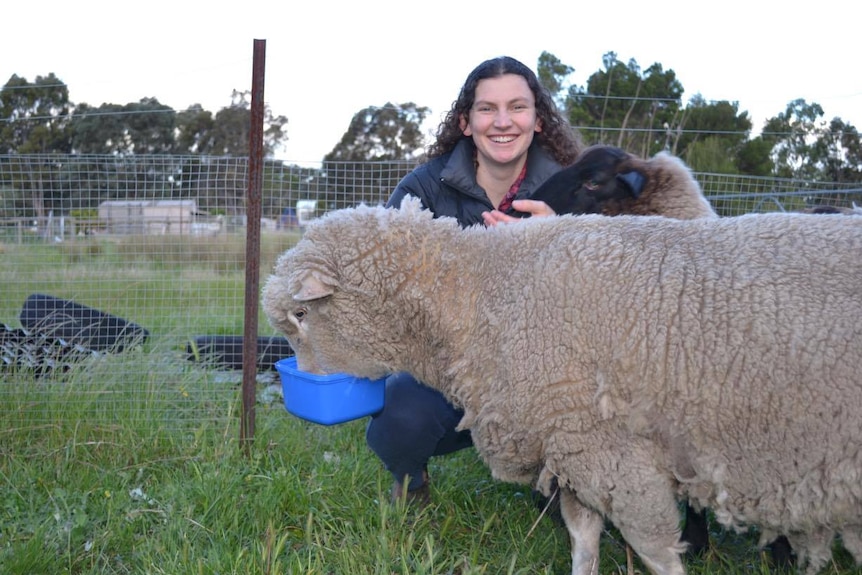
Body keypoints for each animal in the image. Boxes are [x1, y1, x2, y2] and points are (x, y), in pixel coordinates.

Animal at [264, 198, 862, 575]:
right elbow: (583, 536)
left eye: (301, 314)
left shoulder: (613, 452)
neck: (480, 292)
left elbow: (654, 550)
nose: (306, 383)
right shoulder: (573, 443)